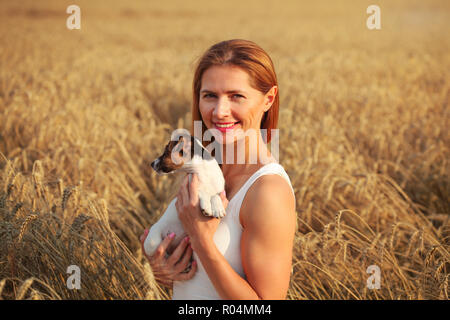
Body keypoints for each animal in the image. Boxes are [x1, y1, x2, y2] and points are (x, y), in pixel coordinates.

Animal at [143, 130, 225, 258]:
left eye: (166, 152)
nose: (151, 163)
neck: (203, 171)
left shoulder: (219, 189)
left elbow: (215, 196)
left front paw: (218, 208)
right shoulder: (191, 184)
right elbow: (202, 190)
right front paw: (207, 205)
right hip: (153, 242)